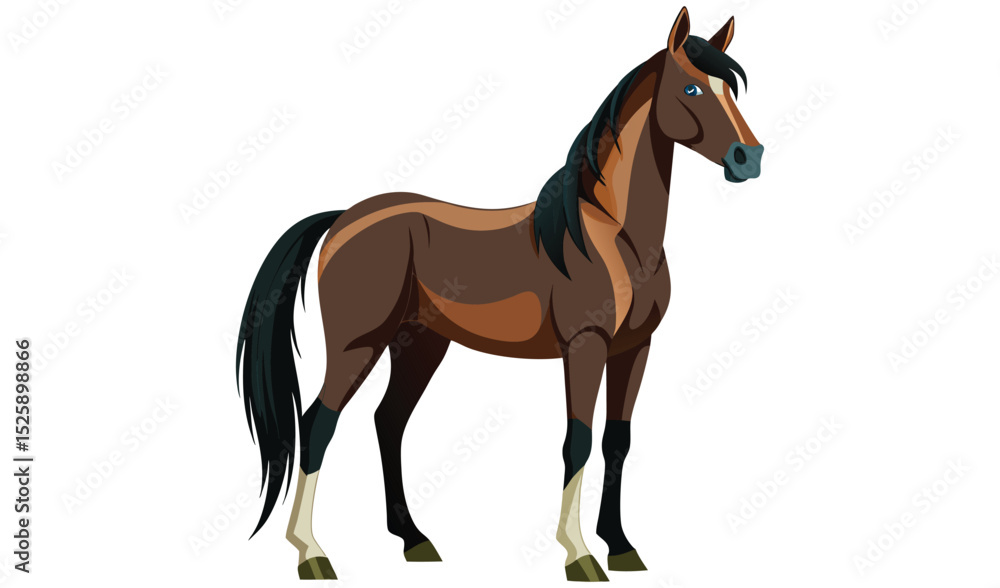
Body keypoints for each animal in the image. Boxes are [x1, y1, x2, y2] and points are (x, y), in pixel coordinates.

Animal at [236, 7, 762, 582]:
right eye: (691, 87)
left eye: (732, 89)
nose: (748, 157)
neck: (611, 232)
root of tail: (343, 219)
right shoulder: (585, 347)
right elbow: (578, 442)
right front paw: (579, 555)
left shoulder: (634, 348)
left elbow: (616, 442)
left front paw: (621, 546)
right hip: (359, 345)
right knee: (319, 424)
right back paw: (312, 552)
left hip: (419, 346)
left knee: (388, 423)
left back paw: (413, 539)